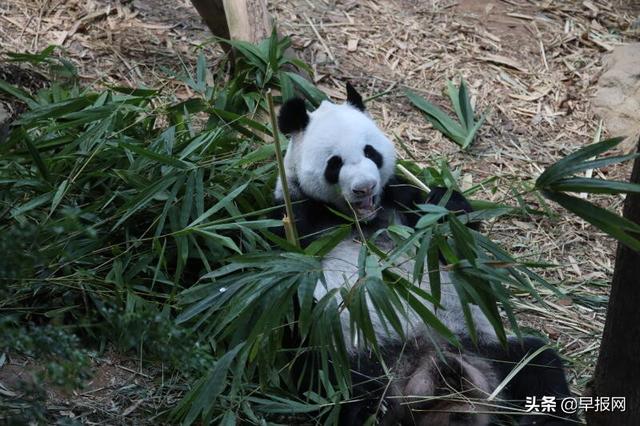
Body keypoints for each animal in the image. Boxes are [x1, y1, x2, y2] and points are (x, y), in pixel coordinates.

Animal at [272, 84, 576, 426]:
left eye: (370, 152)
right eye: (334, 163)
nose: (366, 188)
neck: (360, 220)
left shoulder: (400, 200)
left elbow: (464, 253)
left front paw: (445, 204)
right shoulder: (292, 216)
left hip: (487, 343)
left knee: (539, 365)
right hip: (357, 363)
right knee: (350, 400)